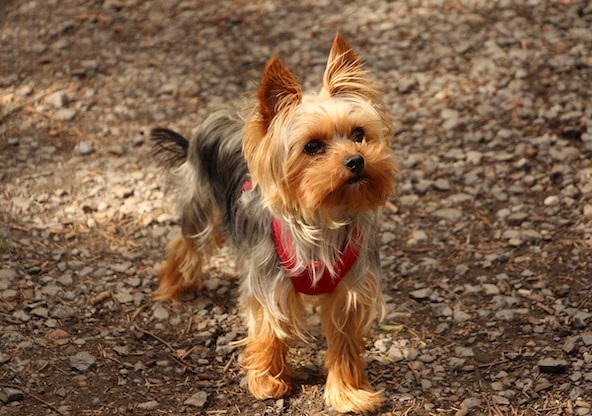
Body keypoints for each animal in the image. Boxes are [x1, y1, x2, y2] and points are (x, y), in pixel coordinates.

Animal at [150, 34, 396, 414]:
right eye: (312, 146)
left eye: (359, 134)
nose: (357, 161)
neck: (322, 219)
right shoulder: (269, 283)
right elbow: (270, 329)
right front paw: (267, 381)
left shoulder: (350, 293)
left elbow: (344, 344)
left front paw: (349, 393)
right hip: (201, 203)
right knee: (185, 242)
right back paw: (174, 285)